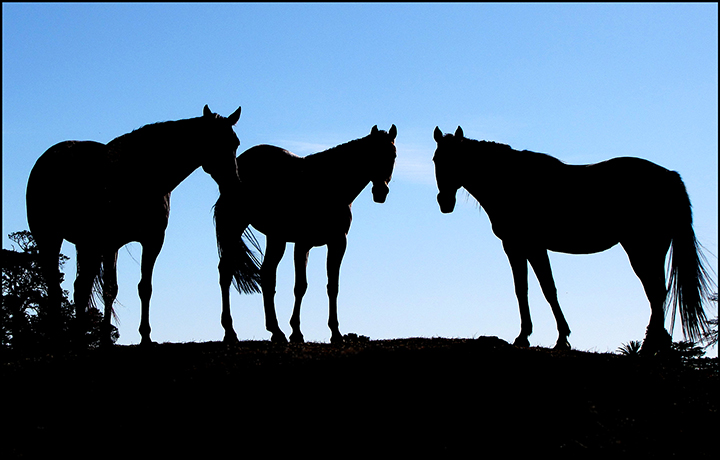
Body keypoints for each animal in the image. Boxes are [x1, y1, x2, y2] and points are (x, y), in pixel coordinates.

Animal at [26, 105, 261, 347]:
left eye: (235, 143)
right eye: (213, 141)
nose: (235, 185)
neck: (140, 174)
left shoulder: (147, 240)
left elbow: (137, 288)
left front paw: (140, 336)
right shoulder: (106, 242)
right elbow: (100, 289)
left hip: (90, 246)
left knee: (84, 287)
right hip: (51, 238)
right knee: (57, 286)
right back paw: (60, 336)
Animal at [214, 125, 397, 344]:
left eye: (393, 155)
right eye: (372, 154)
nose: (381, 192)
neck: (329, 186)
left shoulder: (337, 242)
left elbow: (333, 286)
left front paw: (335, 333)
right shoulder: (303, 244)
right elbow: (300, 286)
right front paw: (296, 332)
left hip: (275, 238)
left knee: (267, 276)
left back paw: (275, 331)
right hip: (235, 226)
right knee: (226, 271)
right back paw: (230, 332)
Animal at [433, 126, 714, 355]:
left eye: (456, 159)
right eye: (436, 159)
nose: (444, 202)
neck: (511, 182)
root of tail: (669, 176)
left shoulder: (528, 246)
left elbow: (543, 289)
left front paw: (553, 338)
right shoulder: (520, 247)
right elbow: (528, 289)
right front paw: (534, 336)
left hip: (641, 248)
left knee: (655, 292)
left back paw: (648, 346)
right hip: (654, 250)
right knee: (659, 293)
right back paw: (659, 345)